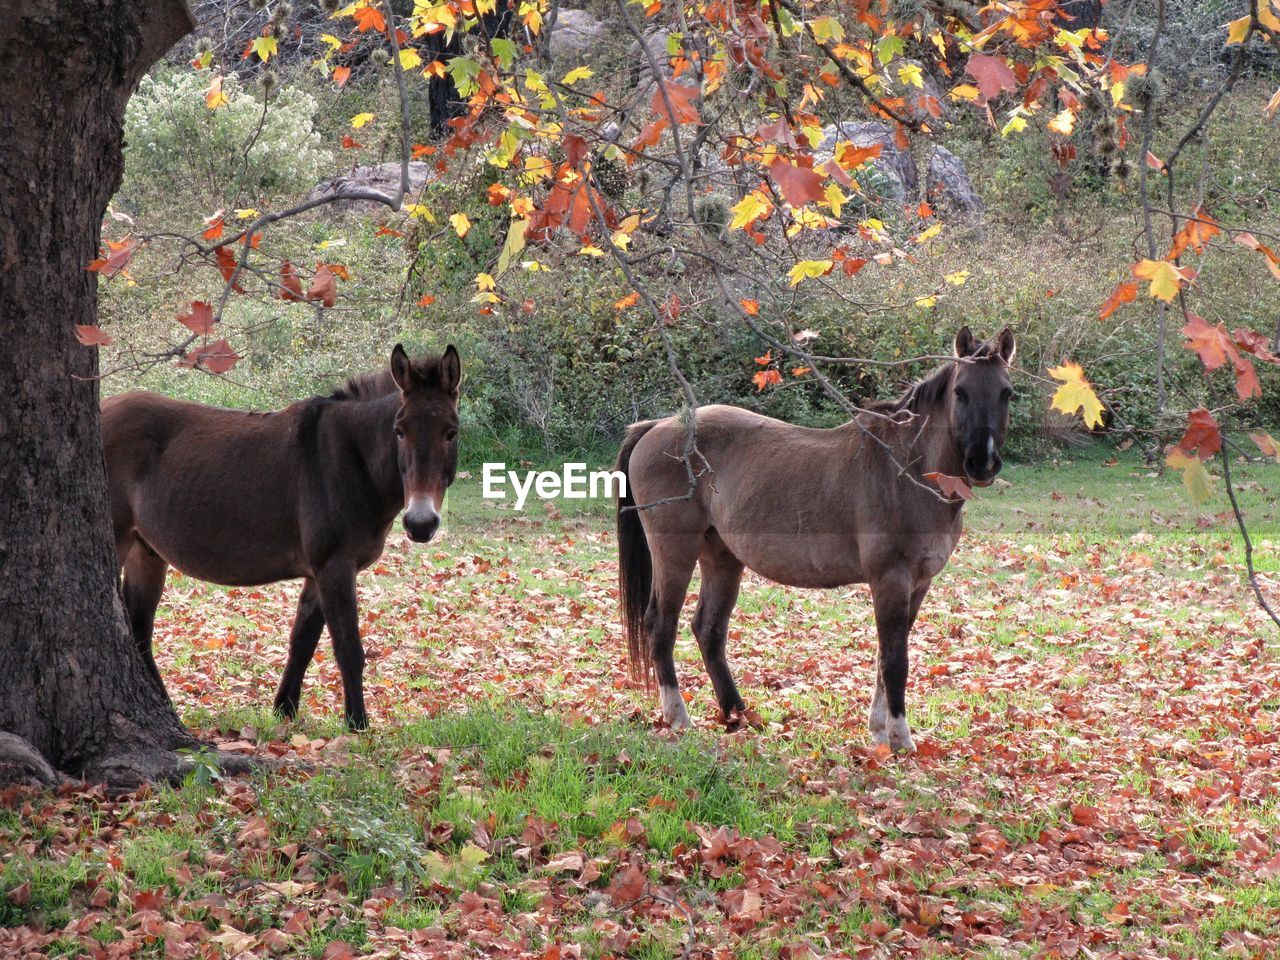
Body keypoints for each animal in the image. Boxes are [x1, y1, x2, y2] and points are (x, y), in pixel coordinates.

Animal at [103, 345, 460, 727]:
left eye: (451, 432)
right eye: (399, 431)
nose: (420, 523)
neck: (352, 460)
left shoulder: (319, 573)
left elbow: (302, 641)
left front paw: (284, 711)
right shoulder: (335, 567)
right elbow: (348, 648)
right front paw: (357, 726)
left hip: (146, 551)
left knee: (139, 630)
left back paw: (167, 711)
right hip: (119, 541)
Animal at [614, 330, 1013, 752]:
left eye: (1006, 393)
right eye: (960, 392)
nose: (982, 462)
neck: (908, 469)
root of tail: (658, 426)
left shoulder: (918, 584)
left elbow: (886, 654)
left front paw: (878, 729)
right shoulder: (890, 580)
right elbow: (894, 660)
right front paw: (900, 738)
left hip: (722, 557)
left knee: (709, 630)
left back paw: (738, 714)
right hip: (675, 554)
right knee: (661, 626)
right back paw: (678, 717)